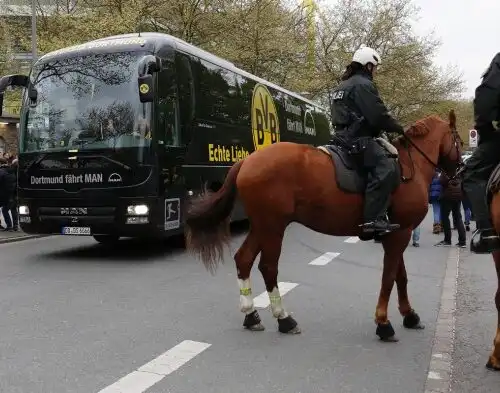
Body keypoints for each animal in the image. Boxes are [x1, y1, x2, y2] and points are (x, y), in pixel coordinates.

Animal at [185, 110, 460, 340]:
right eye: (459, 140)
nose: (458, 173)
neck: (408, 166)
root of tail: (247, 161)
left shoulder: (396, 234)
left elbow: (400, 276)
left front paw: (409, 316)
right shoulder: (400, 234)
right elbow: (389, 277)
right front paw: (383, 323)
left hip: (262, 227)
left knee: (244, 260)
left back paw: (251, 315)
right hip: (273, 227)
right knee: (268, 267)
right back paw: (284, 319)